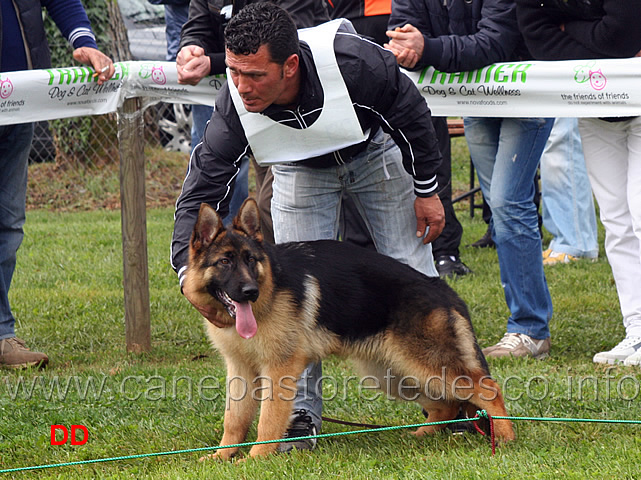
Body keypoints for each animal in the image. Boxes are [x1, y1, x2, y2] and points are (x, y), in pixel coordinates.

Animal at [185, 200, 516, 462]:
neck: (269, 291)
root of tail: (442, 288)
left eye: (251, 260)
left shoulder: (279, 371)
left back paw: (505, 436)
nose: (249, 292)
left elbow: (268, 419)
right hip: (393, 374)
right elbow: (234, 419)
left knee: (488, 389)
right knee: (446, 404)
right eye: (225, 261)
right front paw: (222, 456)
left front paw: (256, 458)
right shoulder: (241, 370)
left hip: (425, 366)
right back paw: (422, 434)